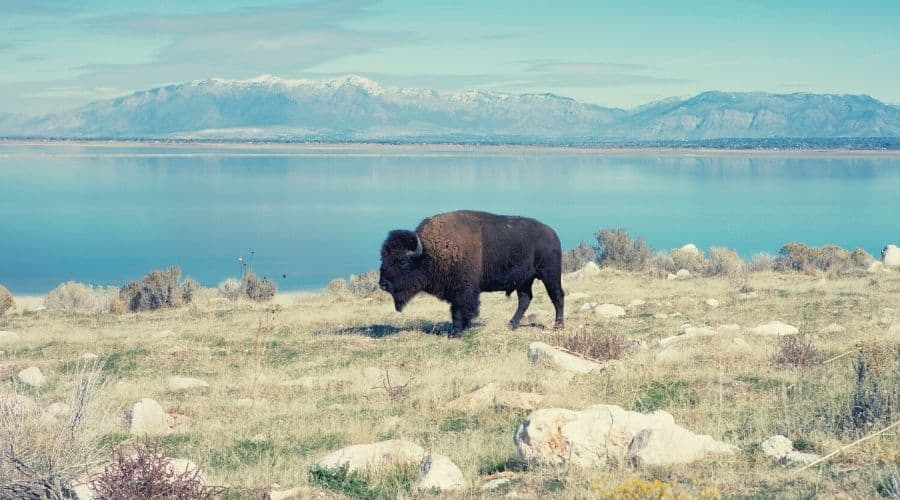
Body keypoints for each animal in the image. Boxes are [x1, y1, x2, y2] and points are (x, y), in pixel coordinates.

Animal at [378, 208, 564, 336]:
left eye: (401, 261)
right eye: (383, 258)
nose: (383, 284)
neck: (428, 252)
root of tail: (552, 234)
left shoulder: (463, 291)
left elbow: (460, 311)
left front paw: (456, 333)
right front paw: (462, 329)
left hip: (549, 275)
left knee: (557, 296)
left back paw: (558, 326)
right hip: (524, 280)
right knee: (525, 299)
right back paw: (511, 324)